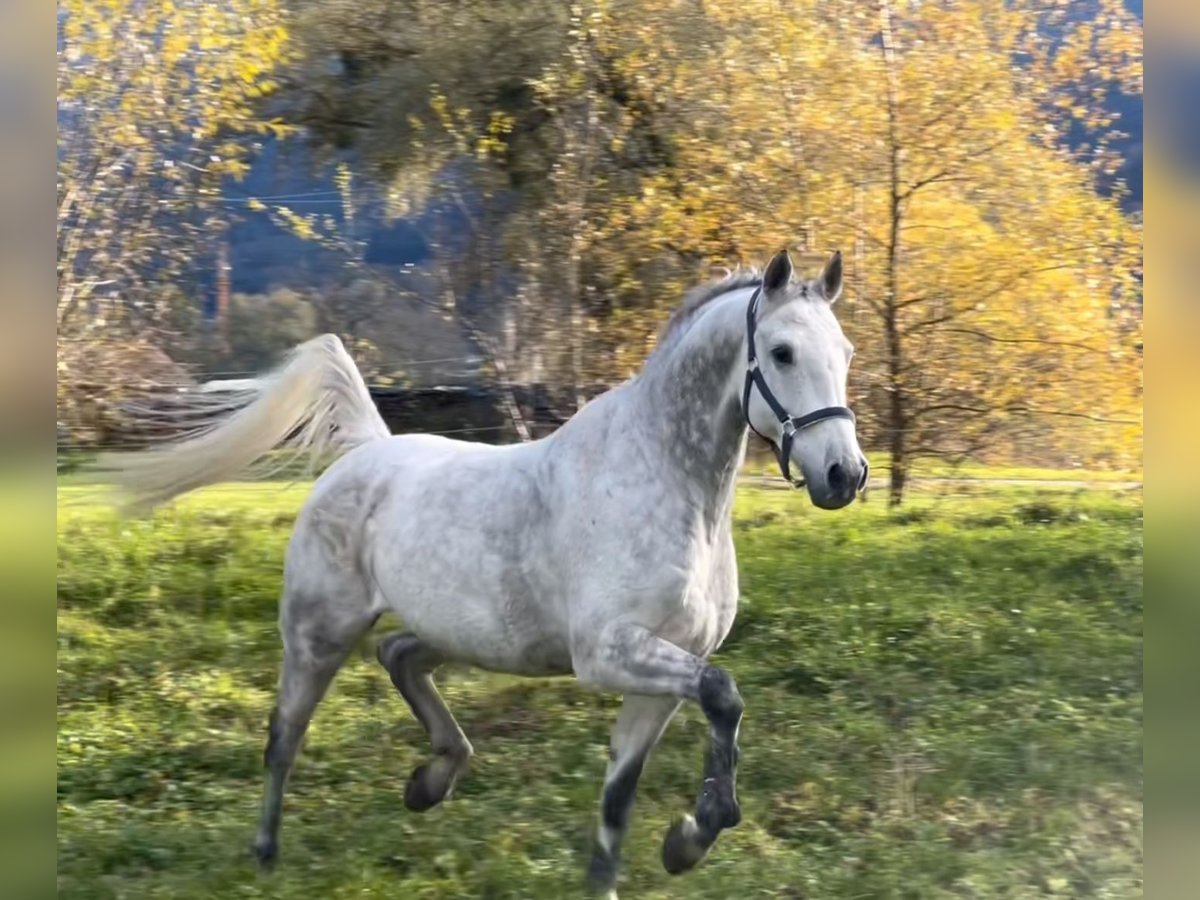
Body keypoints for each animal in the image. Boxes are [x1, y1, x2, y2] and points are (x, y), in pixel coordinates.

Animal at [110, 247, 864, 897]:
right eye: (782, 352)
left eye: (846, 353)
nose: (844, 474)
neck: (666, 484)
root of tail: (365, 453)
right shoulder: (611, 654)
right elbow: (724, 695)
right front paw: (694, 834)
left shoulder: (665, 666)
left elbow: (622, 791)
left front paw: (660, 853)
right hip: (318, 634)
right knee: (284, 736)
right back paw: (268, 853)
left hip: (457, 632)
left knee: (398, 654)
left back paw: (432, 779)